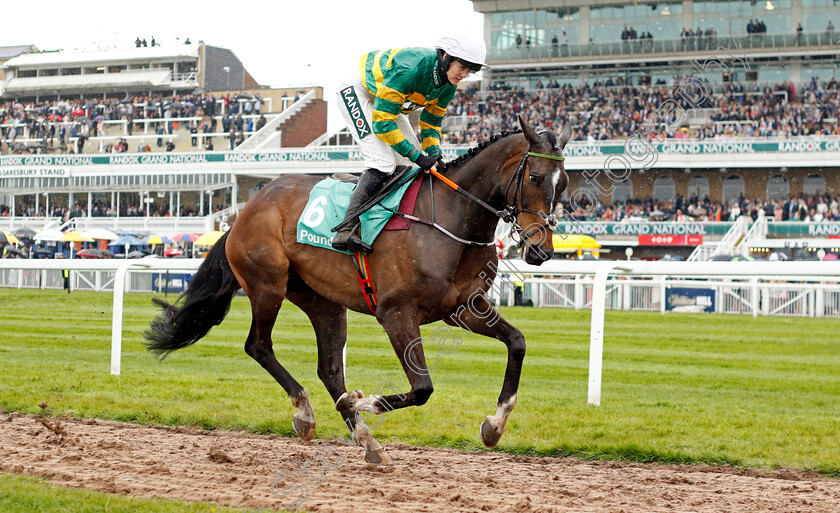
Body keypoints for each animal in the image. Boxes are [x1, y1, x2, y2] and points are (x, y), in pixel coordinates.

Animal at [146, 117, 572, 464]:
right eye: (535, 178)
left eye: (565, 183)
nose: (540, 251)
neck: (451, 220)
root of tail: (245, 209)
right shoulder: (396, 313)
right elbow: (422, 388)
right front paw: (364, 401)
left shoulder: (464, 308)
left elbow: (517, 343)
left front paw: (494, 425)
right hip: (267, 284)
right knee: (259, 346)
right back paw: (306, 412)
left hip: (323, 301)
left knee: (330, 369)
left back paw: (366, 440)